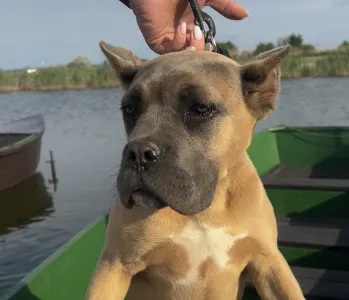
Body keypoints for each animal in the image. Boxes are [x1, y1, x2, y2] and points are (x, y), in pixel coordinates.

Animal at [85, 40, 304, 300]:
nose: (138, 153)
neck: (204, 212)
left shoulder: (268, 261)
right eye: (128, 109)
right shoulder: (114, 265)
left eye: (200, 108)